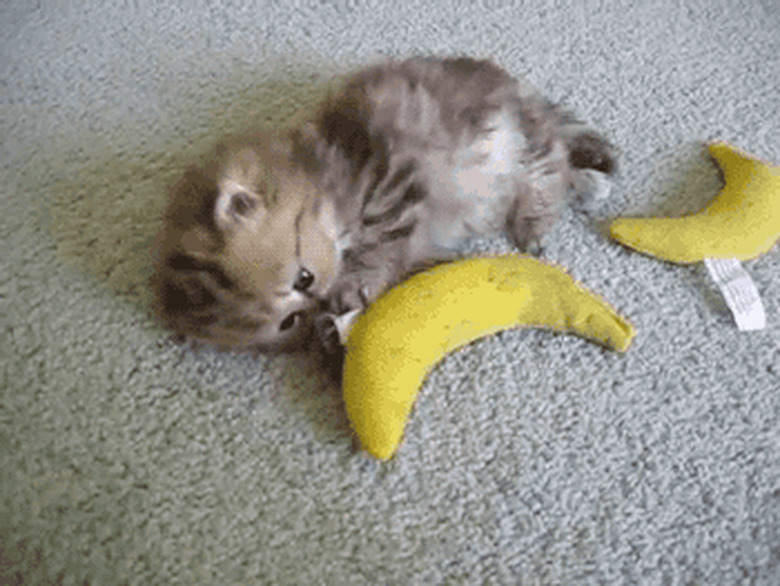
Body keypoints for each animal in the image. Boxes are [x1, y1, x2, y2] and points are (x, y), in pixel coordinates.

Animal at [151, 56, 616, 356]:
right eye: (288, 323)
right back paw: (587, 185)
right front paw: (329, 332)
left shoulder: (392, 174)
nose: (322, 304)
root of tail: (510, 84)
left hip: (507, 131)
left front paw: (356, 282)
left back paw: (538, 217)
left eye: (304, 278)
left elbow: (382, 232)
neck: (326, 175)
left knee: (548, 161)